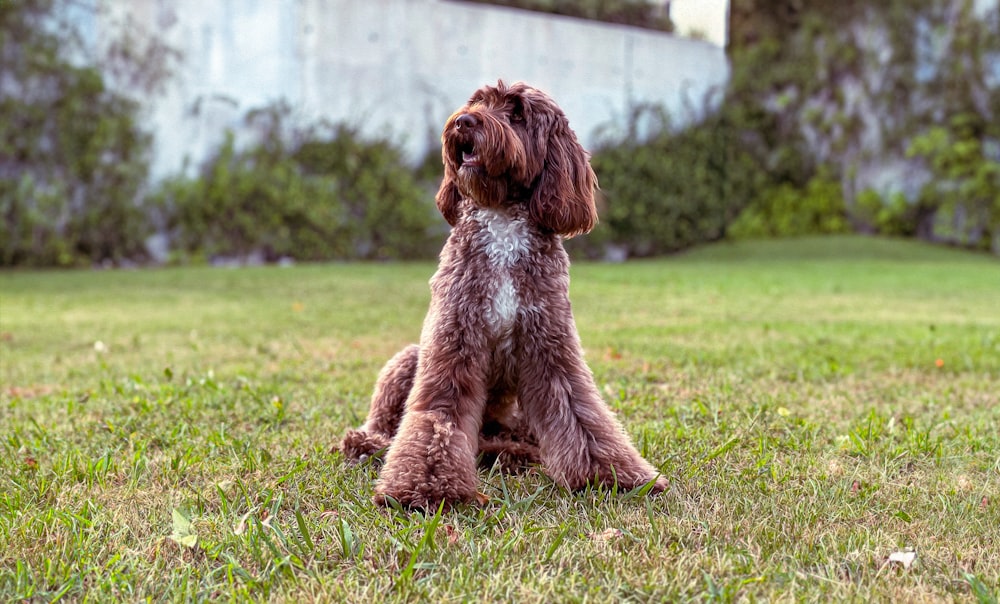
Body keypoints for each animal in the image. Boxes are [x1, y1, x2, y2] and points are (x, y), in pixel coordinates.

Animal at [338, 80, 664, 510]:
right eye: (478, 101)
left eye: (517, 113)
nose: (464, 120)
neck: (503, 223)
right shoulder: (453, 343)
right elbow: (438, 417)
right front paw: (426, 487)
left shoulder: (551, 349)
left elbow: (582, 415)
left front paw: (615, 476)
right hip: (408, 358)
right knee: (386, 421)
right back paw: (368, 443)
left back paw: (510, 453)